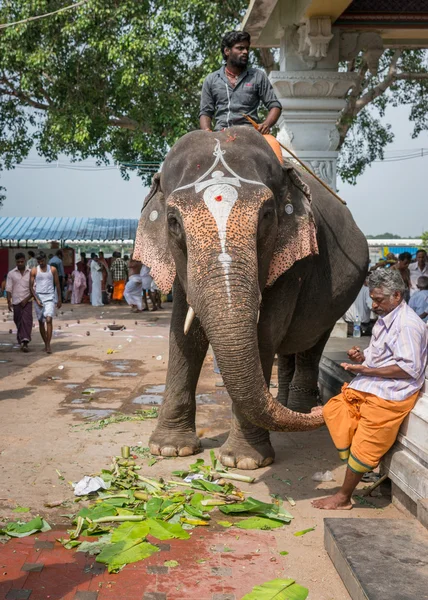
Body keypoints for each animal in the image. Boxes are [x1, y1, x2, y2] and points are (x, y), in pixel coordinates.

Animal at [134, 127, 368, 468]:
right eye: (173, 222)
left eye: (268, 215)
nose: (321, 409)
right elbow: (184, 333)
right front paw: (170, 449)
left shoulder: (293, 259)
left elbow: (264, 333)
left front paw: (243, 461)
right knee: (290, 347)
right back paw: (290, 406)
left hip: (337, 301)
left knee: (311, 342)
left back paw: (299, 410)